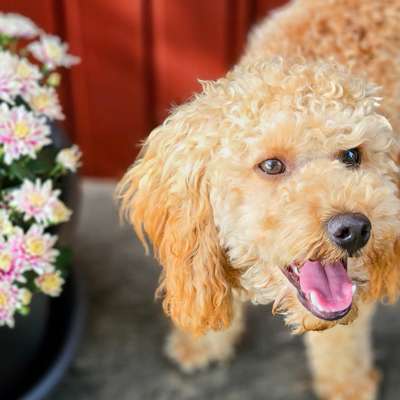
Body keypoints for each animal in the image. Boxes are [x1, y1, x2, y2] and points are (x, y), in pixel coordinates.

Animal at [119, 1, 400, 398]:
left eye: (352, 156)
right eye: (271, 165)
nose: (355, 228)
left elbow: (343, 334)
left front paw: (347, 383)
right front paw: (204, 344)